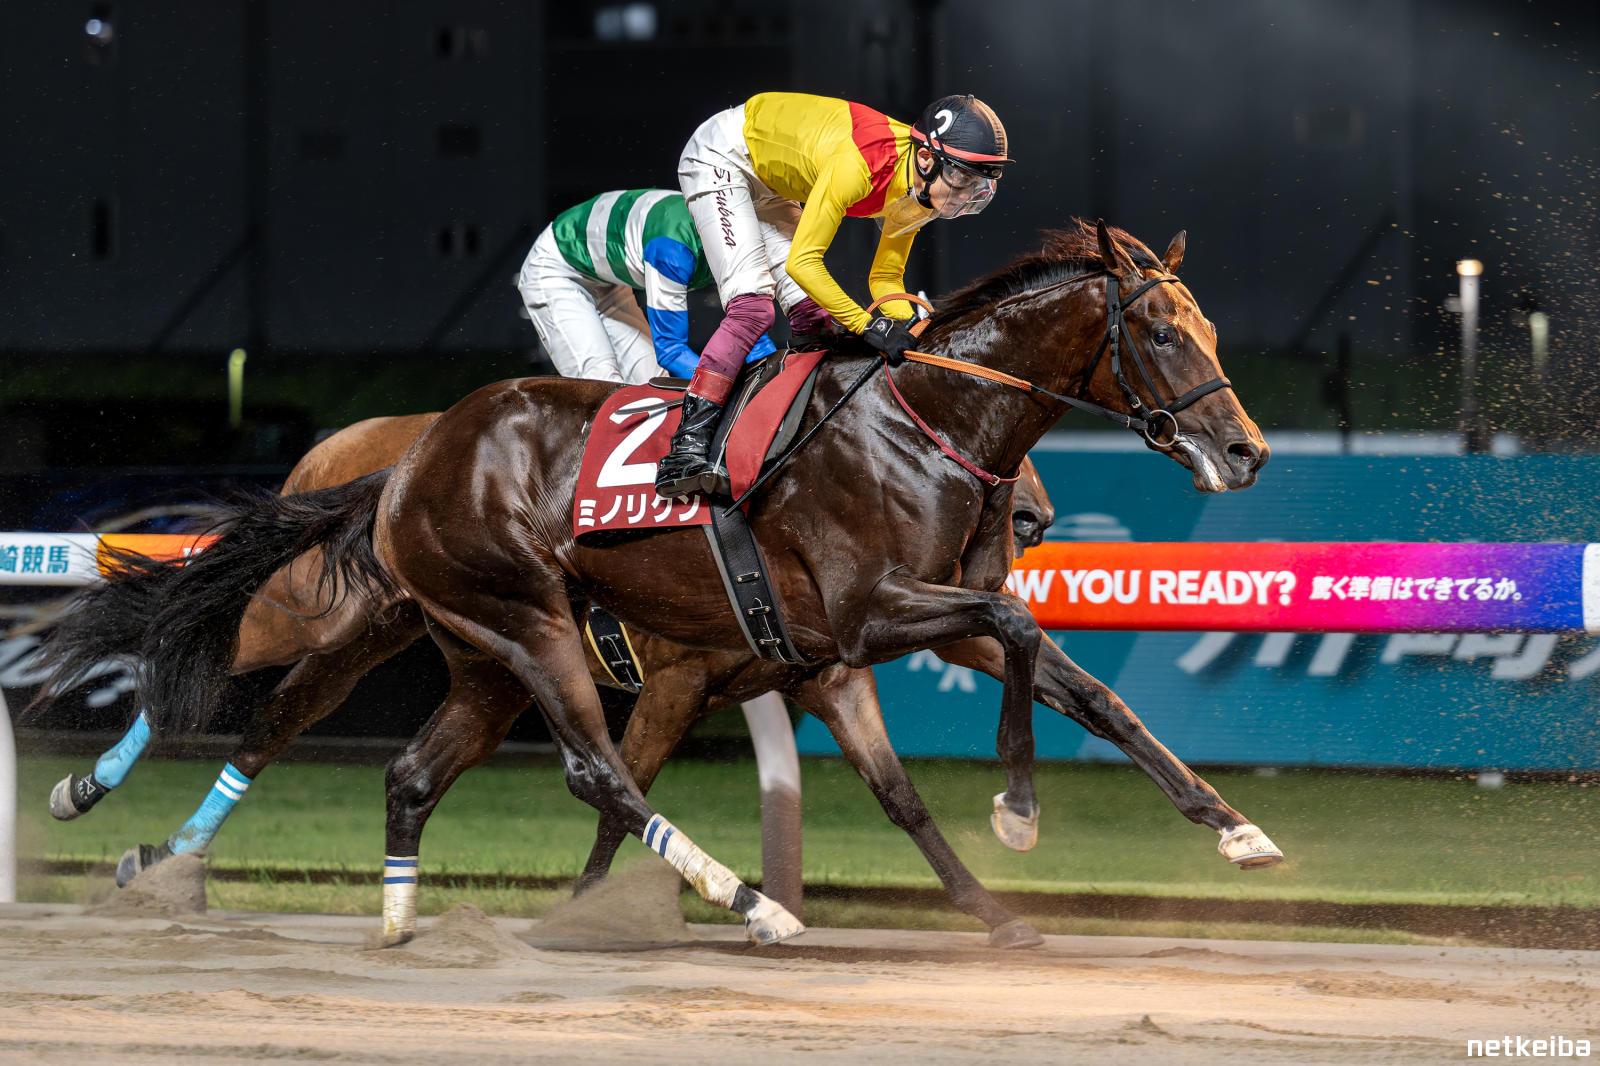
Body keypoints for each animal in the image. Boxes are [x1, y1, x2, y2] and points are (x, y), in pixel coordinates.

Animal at [47, 415, 1060, 947]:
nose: (1034, 521)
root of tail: (370, 454)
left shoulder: (821, 669)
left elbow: (898, 790)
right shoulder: (677, 680)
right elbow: (622, 784)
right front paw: (597, 905)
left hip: (427, 644)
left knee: (291, 722)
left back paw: (171, 857)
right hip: (324, 609)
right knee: (216, 644)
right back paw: (90, 795)